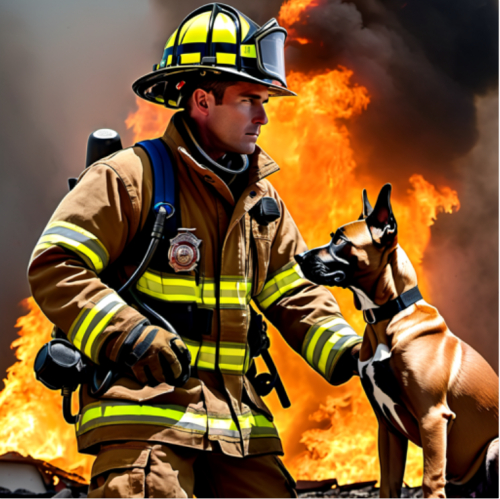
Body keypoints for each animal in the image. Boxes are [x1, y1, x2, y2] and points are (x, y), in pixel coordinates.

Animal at [294, 186, 498, 498]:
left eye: (340, 240)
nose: (298, 256)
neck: (387, 318)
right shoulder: (387, 430)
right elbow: (388, 485)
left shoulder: (432, 417)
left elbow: (430, 482)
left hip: (494, 447)